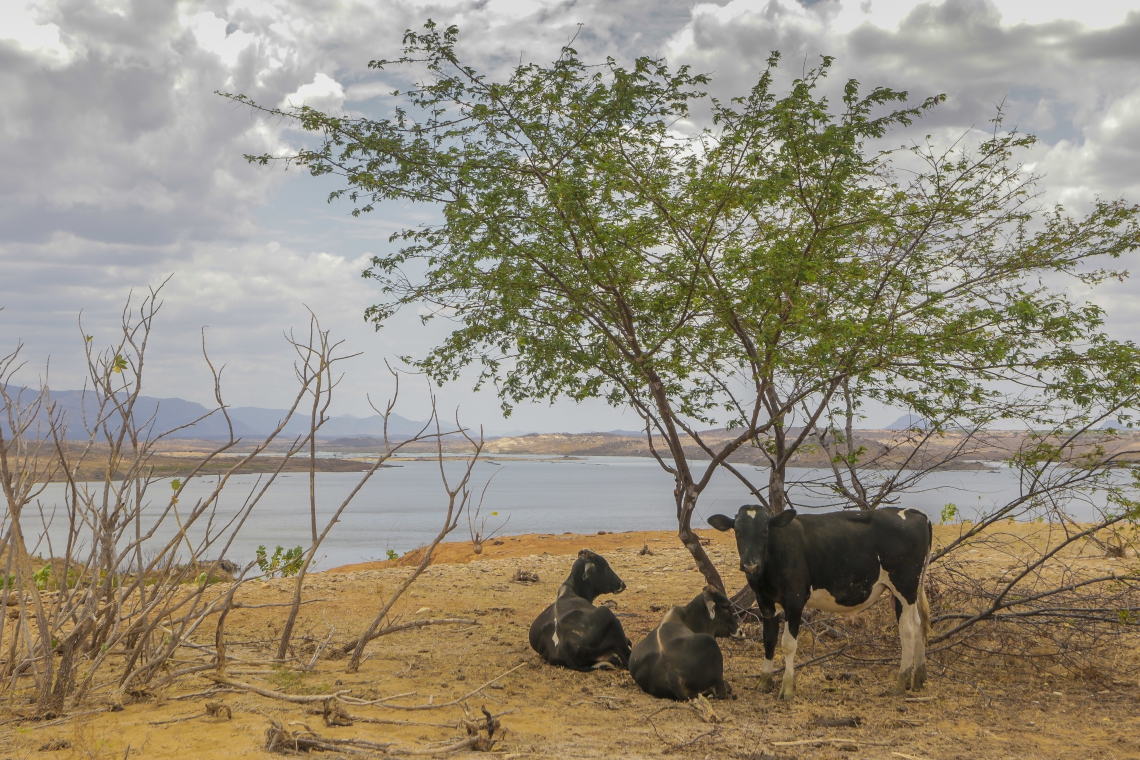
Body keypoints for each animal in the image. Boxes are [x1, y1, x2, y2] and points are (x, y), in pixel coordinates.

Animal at [706, 505, 930, 701]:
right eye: (737, 532)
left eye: (764, 531)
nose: (750, 564)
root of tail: (912, 511)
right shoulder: (766, 602)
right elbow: (768, 640)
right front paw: (764, 682)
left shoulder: (795, 600)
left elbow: (788, 644)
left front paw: (787, 688)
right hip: (907, 591)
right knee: (919, 625)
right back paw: (918, 679)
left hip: (903, 585)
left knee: (907, 630)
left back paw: (901, 683)